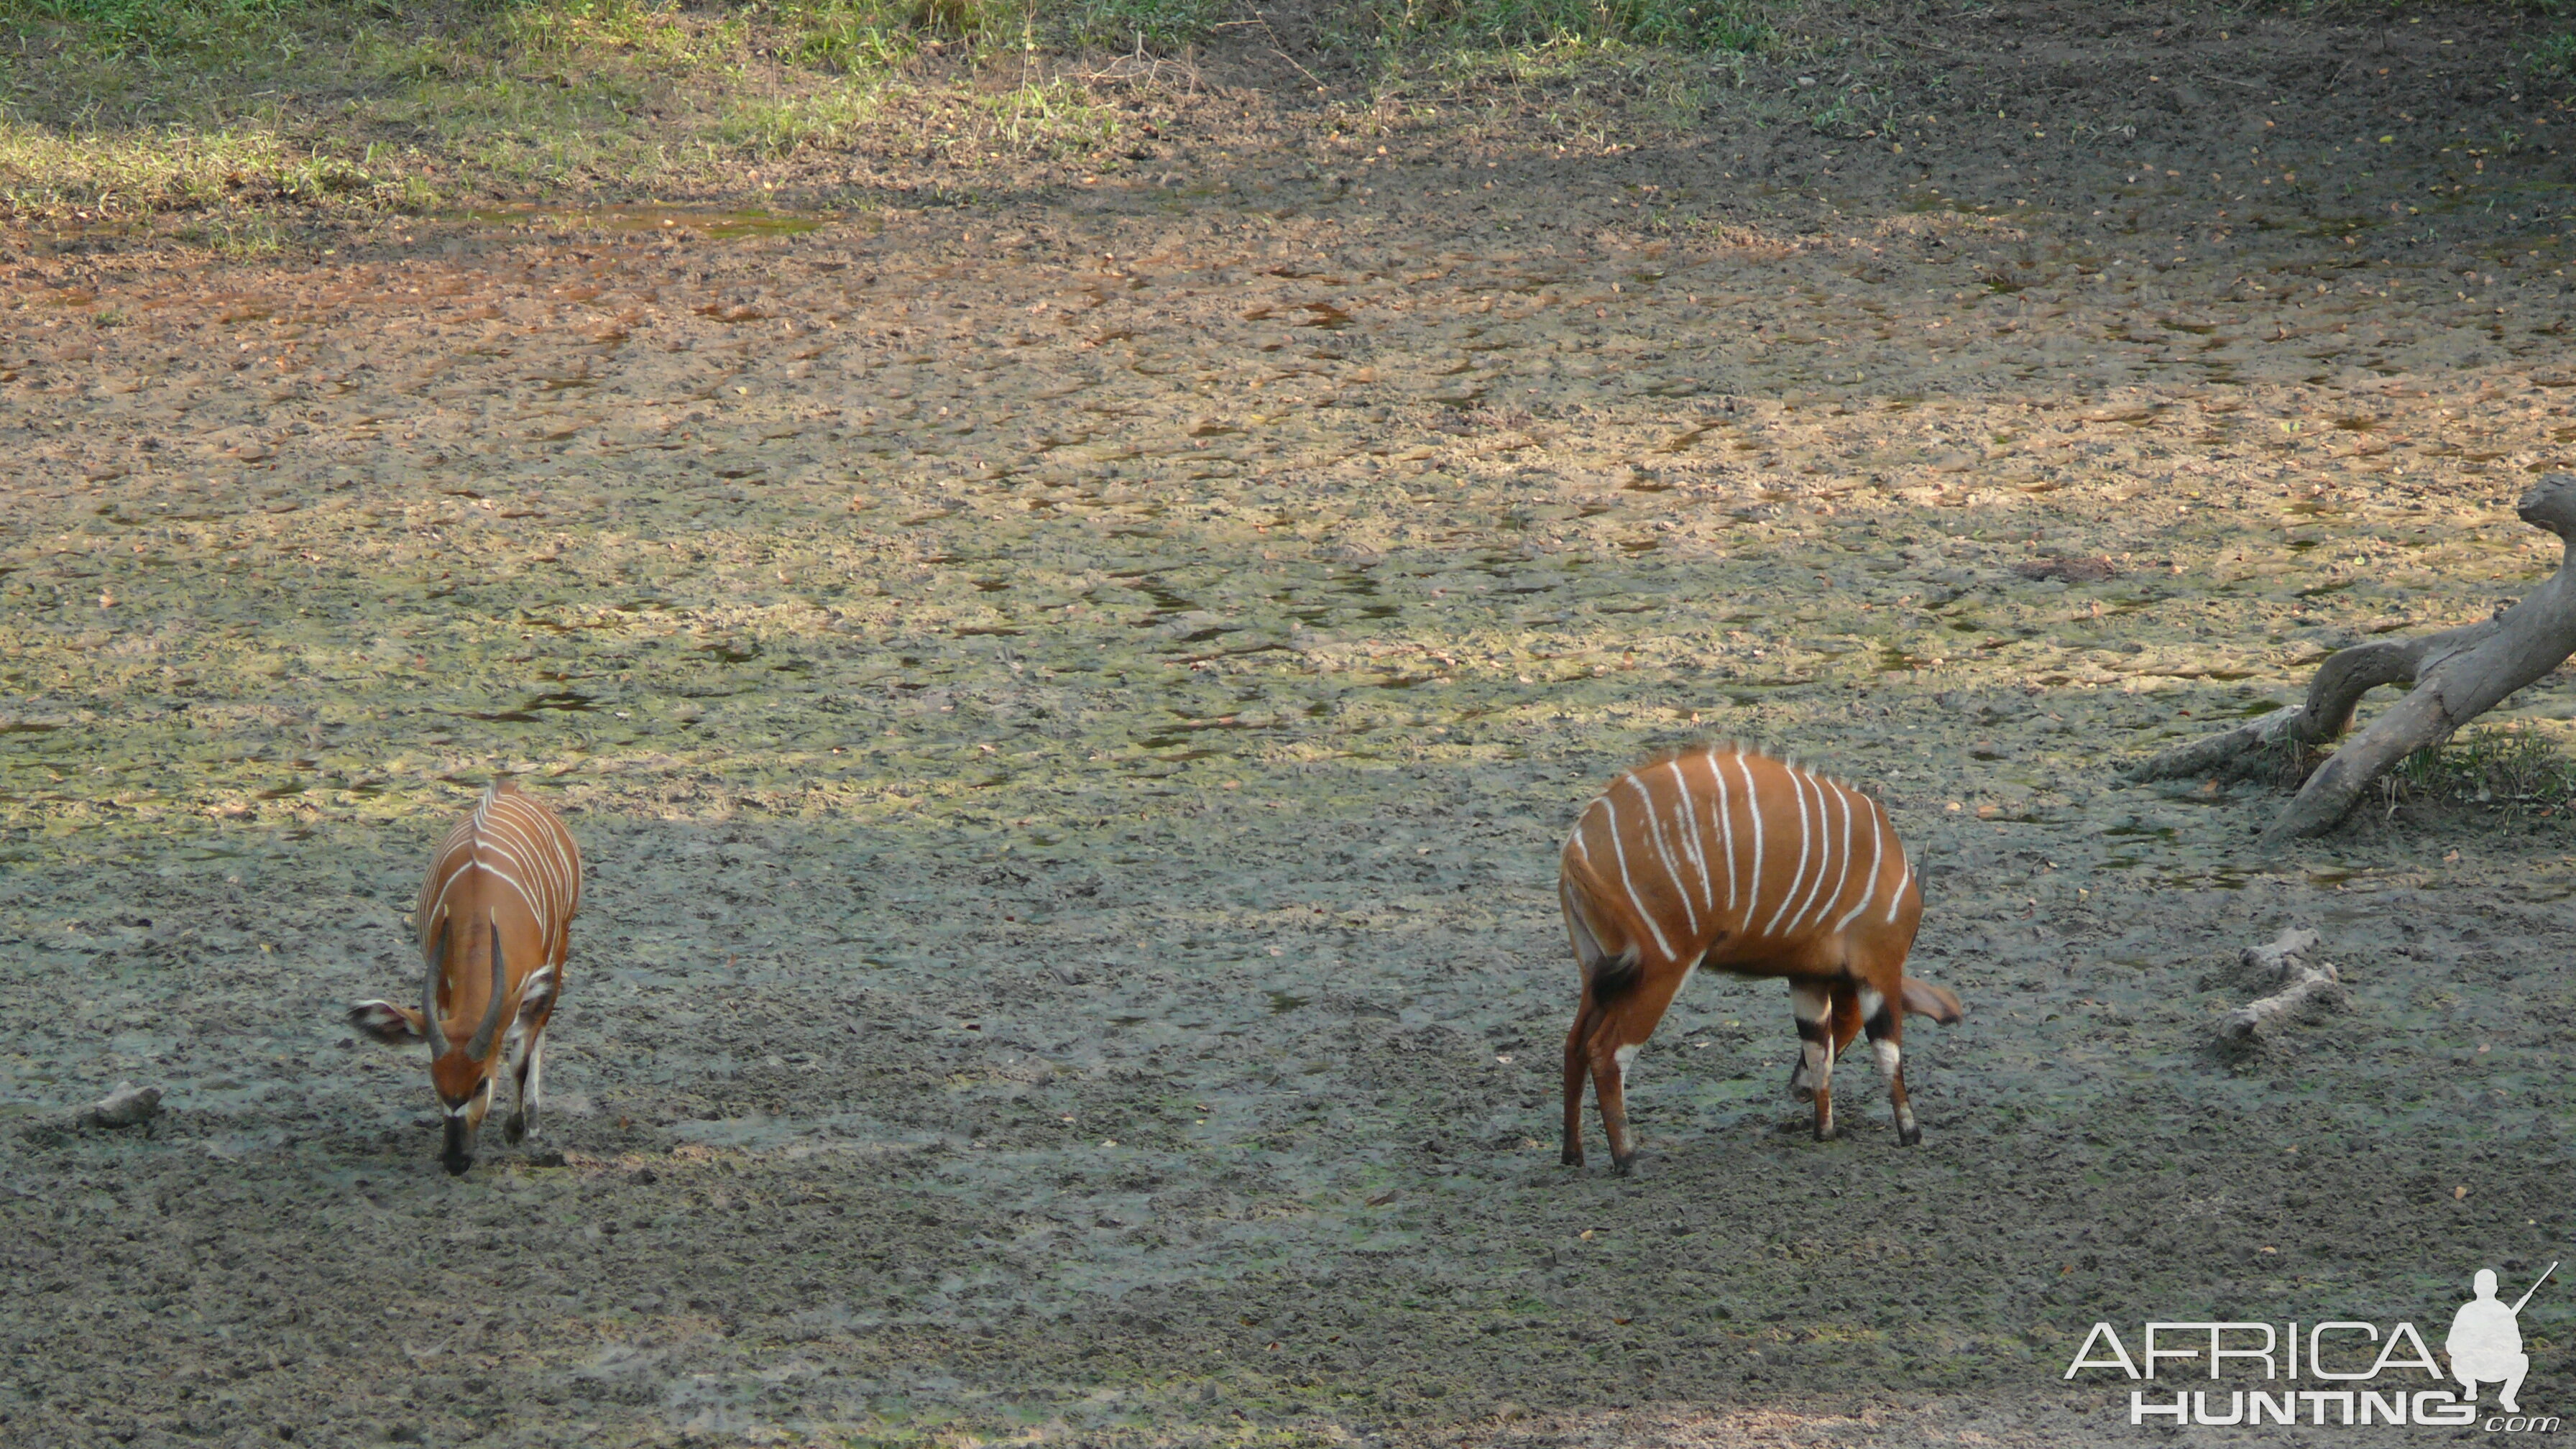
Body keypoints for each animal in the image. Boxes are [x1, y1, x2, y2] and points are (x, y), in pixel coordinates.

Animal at [353, 778, 584, 1175]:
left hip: (560, 947)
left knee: (538, 1034)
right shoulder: (444, 998)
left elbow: (520, 1058)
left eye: (480, 1084)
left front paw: (515, 1128)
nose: (455, 1160)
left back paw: (534, 1119)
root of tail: (508, 787)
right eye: (436, 1082)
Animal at [1555, 737, 1957, 1165]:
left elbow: (1818, 1048)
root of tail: (1578, 845)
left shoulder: (1808, 977)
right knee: (1607, 1053)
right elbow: (1887, 1049)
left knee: (1575, 1045)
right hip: (1659, 970)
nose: (1797, 1091)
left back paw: (1573, 1155)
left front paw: (1825, 1131)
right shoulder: (1879, 967)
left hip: (1598, 972)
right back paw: (1627, 1159)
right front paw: (1911, 1134)